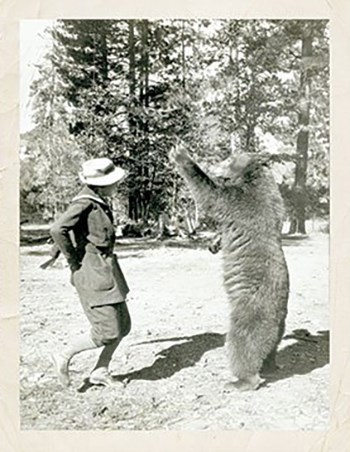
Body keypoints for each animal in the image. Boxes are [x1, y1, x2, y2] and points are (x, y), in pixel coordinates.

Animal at [170, 147, 290, 390]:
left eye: (227, 159)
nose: (215, 164)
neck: (252, 176)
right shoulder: (274, 201)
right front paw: (214, 243)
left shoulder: (241, 200)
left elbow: (211, 197)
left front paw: (181, 155)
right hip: (278, 323)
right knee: (271, 345)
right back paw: (270, 366)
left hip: (250, 310)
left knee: (242, 343)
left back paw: (240, 380)